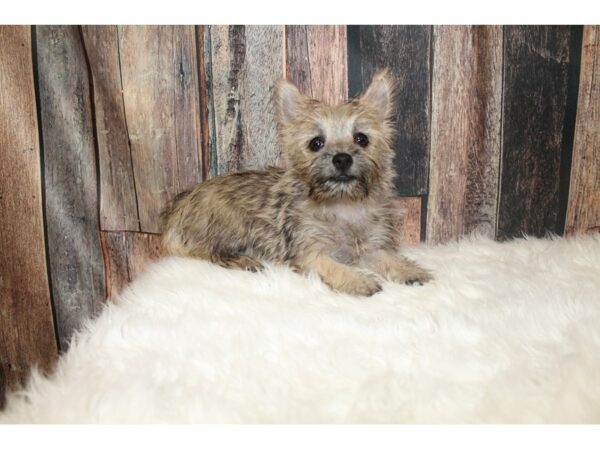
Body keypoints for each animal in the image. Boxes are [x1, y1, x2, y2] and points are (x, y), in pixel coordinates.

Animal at [159, 69, 432, 296]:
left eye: (361, 139)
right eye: (316, 143)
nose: (342, 158)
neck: (342, 203)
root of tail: (178, 210)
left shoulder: (368, 247)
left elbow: (386, 258)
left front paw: (409, 270)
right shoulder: (309, 253)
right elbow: (333, 266)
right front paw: (358, 280)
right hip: (229, 225)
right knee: (204, 252)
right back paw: (244, 261)